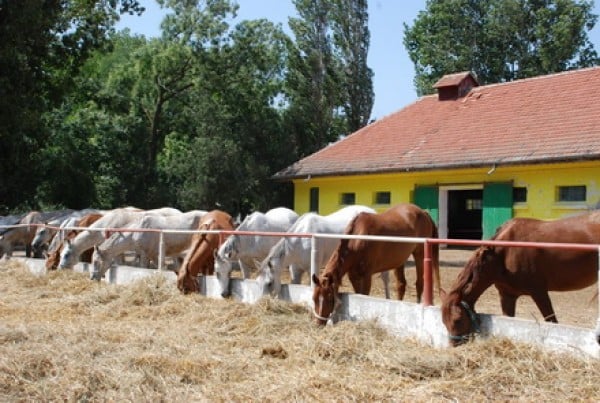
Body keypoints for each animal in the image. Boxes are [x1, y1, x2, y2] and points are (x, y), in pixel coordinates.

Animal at [256, 205, 392, 296]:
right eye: (257, 283)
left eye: (269, 283)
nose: (263, 303)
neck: (299, 241)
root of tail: (374, 212)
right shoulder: (296, 270)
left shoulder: (312, 268)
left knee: (385, 279)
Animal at [310, 204, 440, 326]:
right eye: (314, 298)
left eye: (329, 298)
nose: (319, 323)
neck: (357, 240)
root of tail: (423, 212)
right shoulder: (354, 276)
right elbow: (359, 294)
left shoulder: (366, 276)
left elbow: (364, 295)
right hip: (400, 260)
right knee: (401, 285)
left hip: (419, 254)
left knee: (419, 284)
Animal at [438, 211, 600, 348]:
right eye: (443, 321)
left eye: (458, 319)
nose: (453, 345)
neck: (503, 254)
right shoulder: (507, 296)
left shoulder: (539, 292)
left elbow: (552, 321)